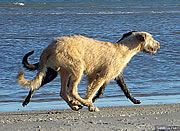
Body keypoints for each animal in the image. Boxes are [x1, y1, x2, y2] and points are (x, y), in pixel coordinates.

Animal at [17, 31, 160, 111]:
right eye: (151, 38)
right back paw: (82, 103)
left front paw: (85, 103)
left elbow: (91, 90)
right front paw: (89, 104)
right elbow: (93, 92)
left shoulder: (93, 77)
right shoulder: (101, 76)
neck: (124, 49)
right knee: (71, 90)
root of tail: (49, 48)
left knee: (63, 92)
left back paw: (75, 105)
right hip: (77, 67)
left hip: (64, 71)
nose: (159, 44)